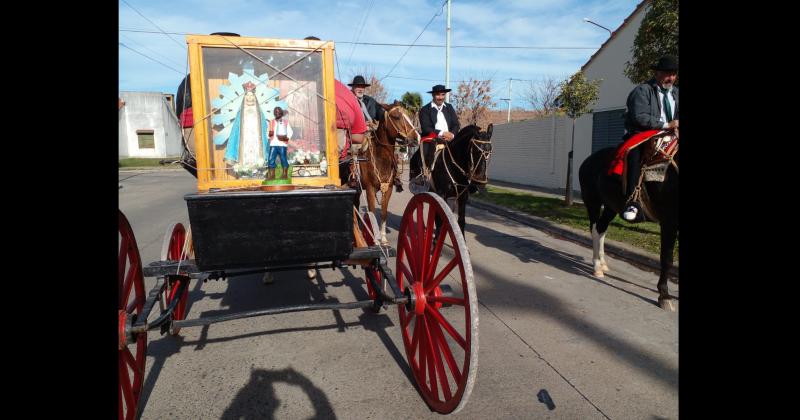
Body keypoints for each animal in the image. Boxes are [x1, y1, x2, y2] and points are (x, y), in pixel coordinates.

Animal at [356, 103, 418, 244]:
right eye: (396, 117)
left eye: (408, 115)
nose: (416, 137)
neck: (380, 158)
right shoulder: (370, 189)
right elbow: (372, 212)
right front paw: (374, 239)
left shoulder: (387, 188)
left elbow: (384, 212)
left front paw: (383, 237)